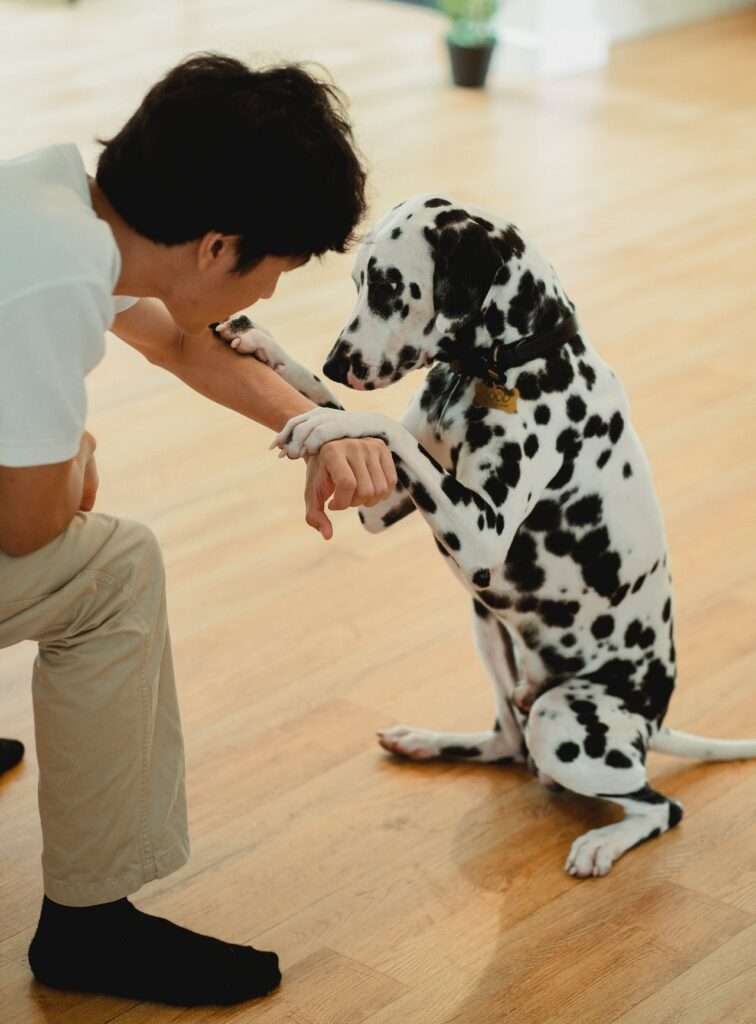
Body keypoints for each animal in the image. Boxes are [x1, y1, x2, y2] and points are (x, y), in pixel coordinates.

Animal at [213, 195, 753, 876]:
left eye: (390, 287)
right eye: (358, 282)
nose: (340, 359)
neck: (505, 365)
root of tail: (654, 720)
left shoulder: (480, 534)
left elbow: (382, 425)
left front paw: (318, 424)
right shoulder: (384, 502)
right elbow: (345, 409)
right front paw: (267, 347)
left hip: (563, 721)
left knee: (660, 808)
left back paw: (602, 844)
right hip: (487, 633)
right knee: (506, 745)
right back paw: (425, 741)